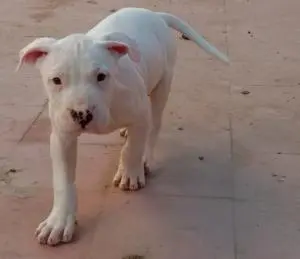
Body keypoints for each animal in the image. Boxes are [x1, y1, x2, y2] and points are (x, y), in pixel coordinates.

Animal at [16, 7, 227, 247]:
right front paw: (58, 222)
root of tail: (155, 14)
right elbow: (63, 181)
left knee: (154, 125)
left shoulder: (140, 114)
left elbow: (132, 148)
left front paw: (129, 173)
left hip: (163, 83)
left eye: (101, 76)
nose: (82, 114)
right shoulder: (62, 134)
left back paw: (145, 157)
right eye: (56, 80)